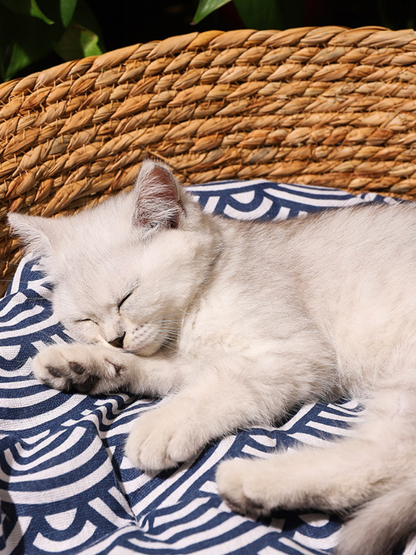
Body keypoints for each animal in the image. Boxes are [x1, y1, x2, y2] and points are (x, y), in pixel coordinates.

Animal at [8, 161, 416, 555]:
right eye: (85, 320)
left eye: (127, 297)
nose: (116, 338)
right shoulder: (197, 361)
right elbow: (160, 371)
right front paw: (82, 364)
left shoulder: (294, 353)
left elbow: (213, 389)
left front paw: (163, 425)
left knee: (389, 455)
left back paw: (254, 482)